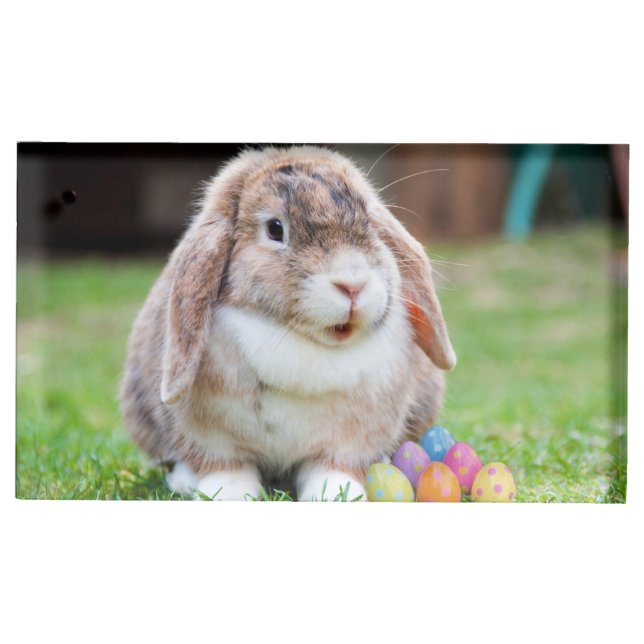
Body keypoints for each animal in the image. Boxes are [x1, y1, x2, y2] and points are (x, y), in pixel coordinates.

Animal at [120, 146, 456, 501]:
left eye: (368, 221)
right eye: (275, 229)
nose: (352, 284)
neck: (301, 340)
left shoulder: (352, 439)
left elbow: (333, 466)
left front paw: (335, 494)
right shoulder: (210, 436)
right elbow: (226, 465)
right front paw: (229, 494)